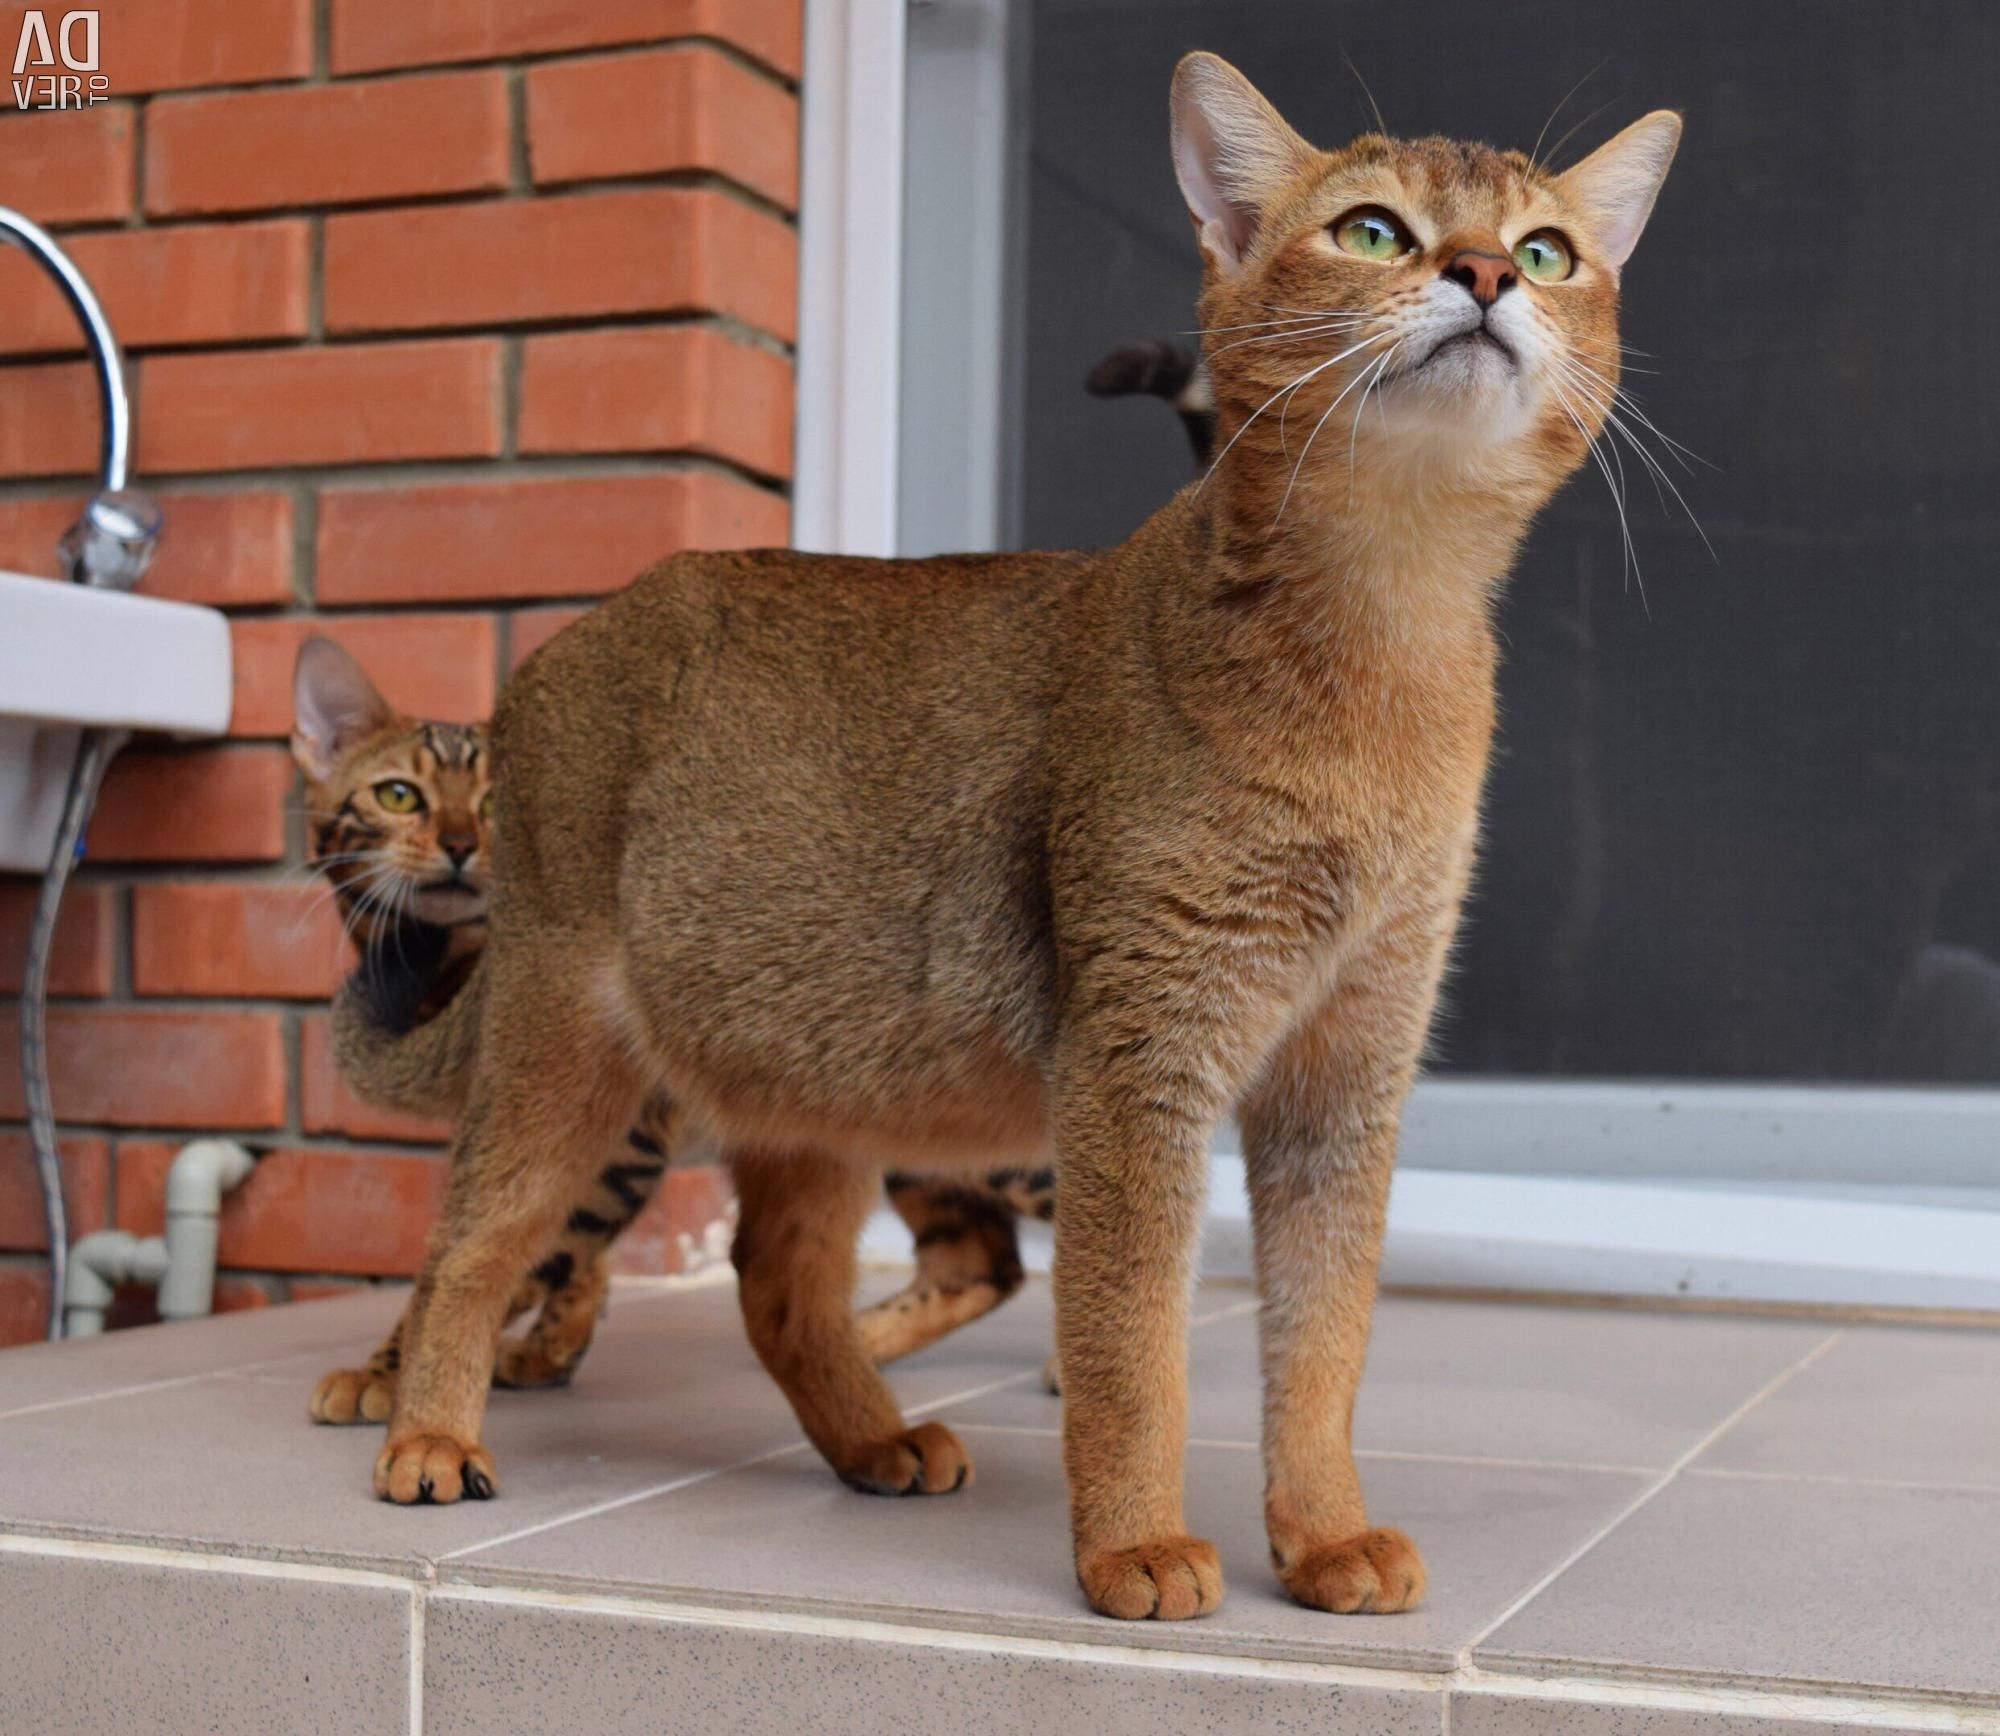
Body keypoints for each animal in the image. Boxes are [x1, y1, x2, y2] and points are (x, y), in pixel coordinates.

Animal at [356, 57, 1672, 1624]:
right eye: (1371, 231)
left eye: (1548, 252)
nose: (1481, 274)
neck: (1381, 647)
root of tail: (558, 646)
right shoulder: (1137, 1056)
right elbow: (1130, 1334)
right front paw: (1136, 1549)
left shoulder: (1346, 1070)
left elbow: (1324, 1335)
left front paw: (1324, 1534)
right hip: (567, 1038)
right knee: (467, 1240)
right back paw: (426, 1436)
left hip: (819, 1067)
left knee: (773, 1278)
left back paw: (873, 1443)